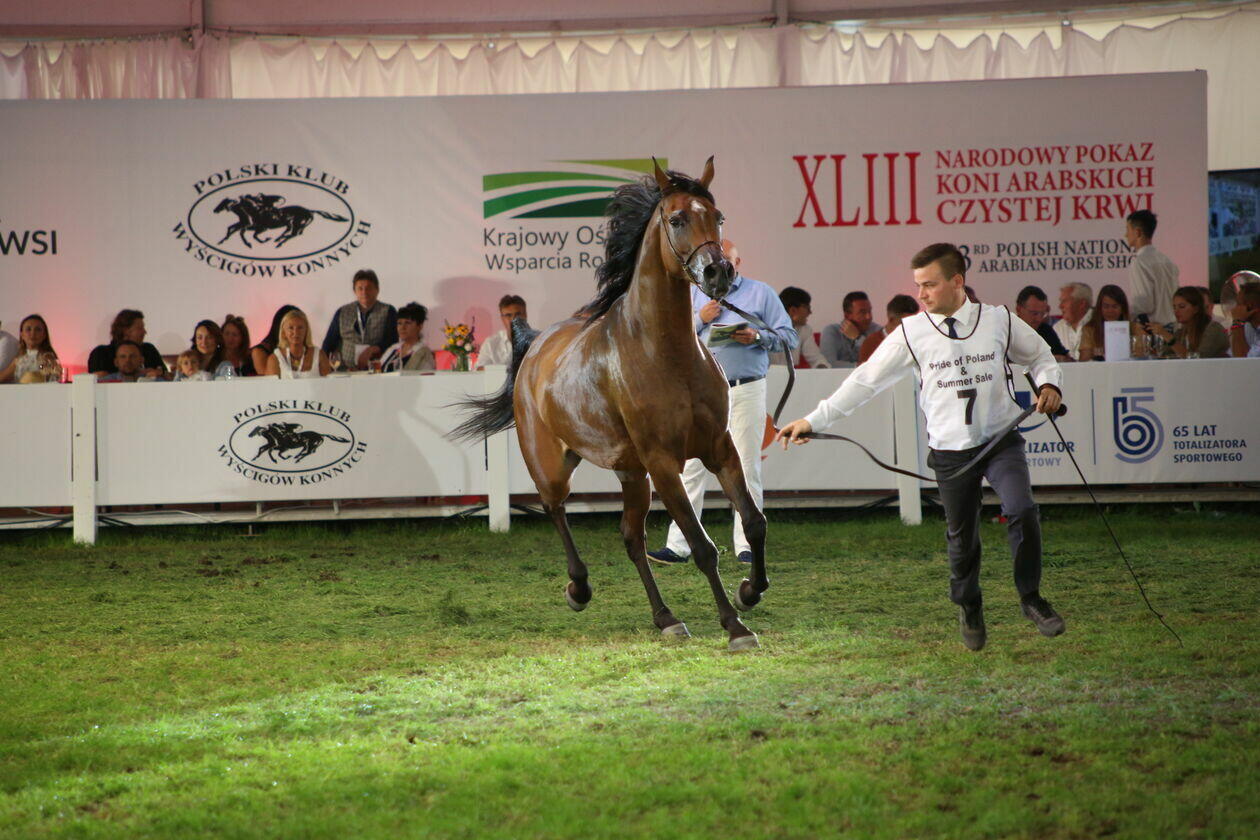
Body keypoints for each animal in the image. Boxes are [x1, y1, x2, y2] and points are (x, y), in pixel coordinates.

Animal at [452, 158, 769, 651]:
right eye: (677, 219)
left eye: (718, 218)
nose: (719, 273)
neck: (666, 352)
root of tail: (534, 346)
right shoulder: (664, 462)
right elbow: (701, 547)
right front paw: (735, 626)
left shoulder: (719, 447)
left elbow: (754, 522)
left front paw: (749, 592)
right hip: (554, 466)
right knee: (556, 510)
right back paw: (578, 589)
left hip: (632, 474)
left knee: (631, 538)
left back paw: (666, 618)